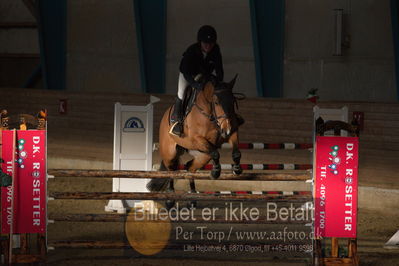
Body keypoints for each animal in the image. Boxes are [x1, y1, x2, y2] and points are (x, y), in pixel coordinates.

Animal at [148, 76, 244, 207]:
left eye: (233, 101)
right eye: (216, 102)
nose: (226, 129)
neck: (211, 115)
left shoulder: (232, 134)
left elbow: (236, 152)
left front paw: (237, 169)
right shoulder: (197, 139)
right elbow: (216, 153)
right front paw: (215, 172)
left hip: (202, 155)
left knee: (190, 168)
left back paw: (193, 197)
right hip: (170, 154)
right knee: (171, 171)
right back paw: (170, 198)